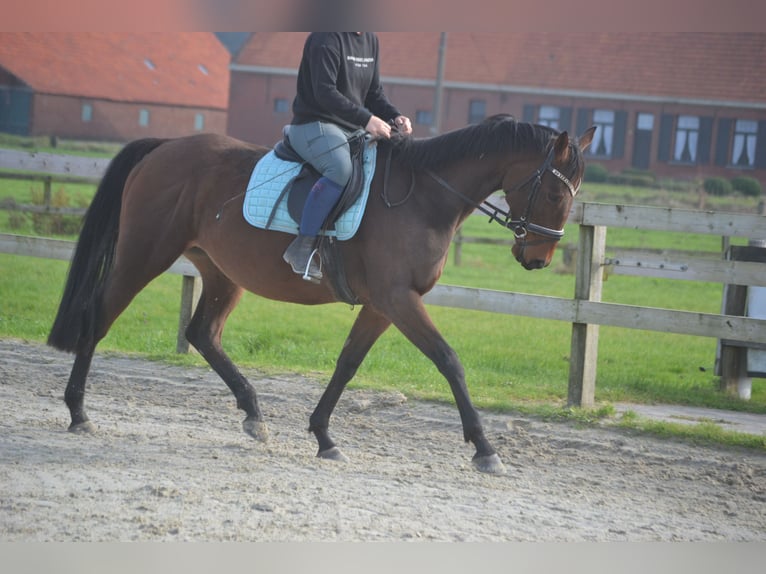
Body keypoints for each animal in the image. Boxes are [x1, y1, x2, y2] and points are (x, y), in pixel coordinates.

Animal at [48, 115, 596, 474]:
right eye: (554, 193)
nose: (538, 258)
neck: (424, 197)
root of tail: (165, 146)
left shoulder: (381, 304)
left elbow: (348, 363)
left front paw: (324, 435)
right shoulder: (399, 299)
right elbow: (449, 360)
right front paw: (484, 448)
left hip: (222, 272)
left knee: (203, 333)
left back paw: (253, 414)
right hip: (144, 254)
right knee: (98, 316)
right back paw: (77, 412)